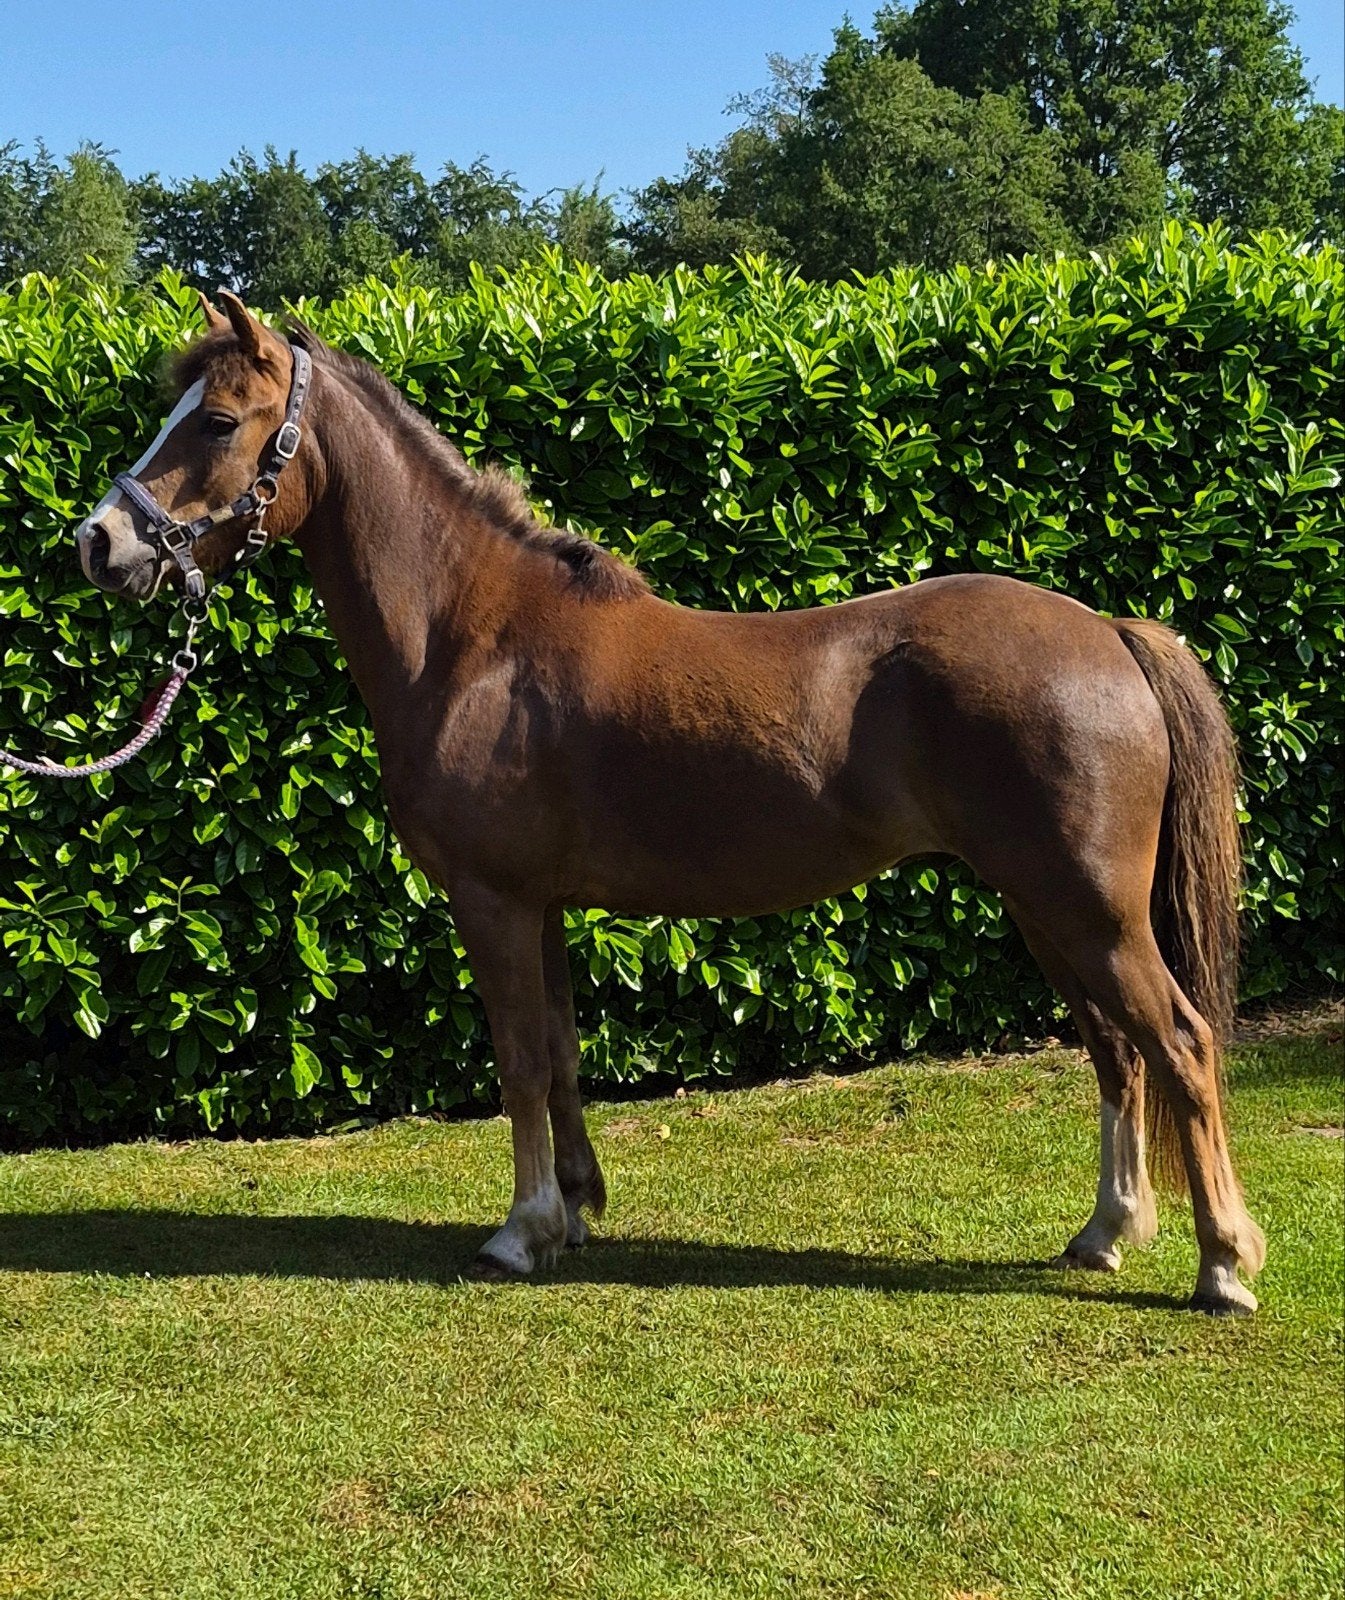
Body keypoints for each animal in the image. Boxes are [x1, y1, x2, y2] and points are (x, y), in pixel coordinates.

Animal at [73, 291, 1265, 1314]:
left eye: (217, 419)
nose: (100, 542)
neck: (474, 637)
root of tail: (1108, 631)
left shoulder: (492, 900)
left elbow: (516, 1062)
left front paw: (518, 1233)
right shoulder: (543, 905)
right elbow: (558, 1055)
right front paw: (572, 1213)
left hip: (1087, 908)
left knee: (1180, 1043)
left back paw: (1221, 1266)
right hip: (1045, 907)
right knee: (1115, 1051)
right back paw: (1104, 1234)